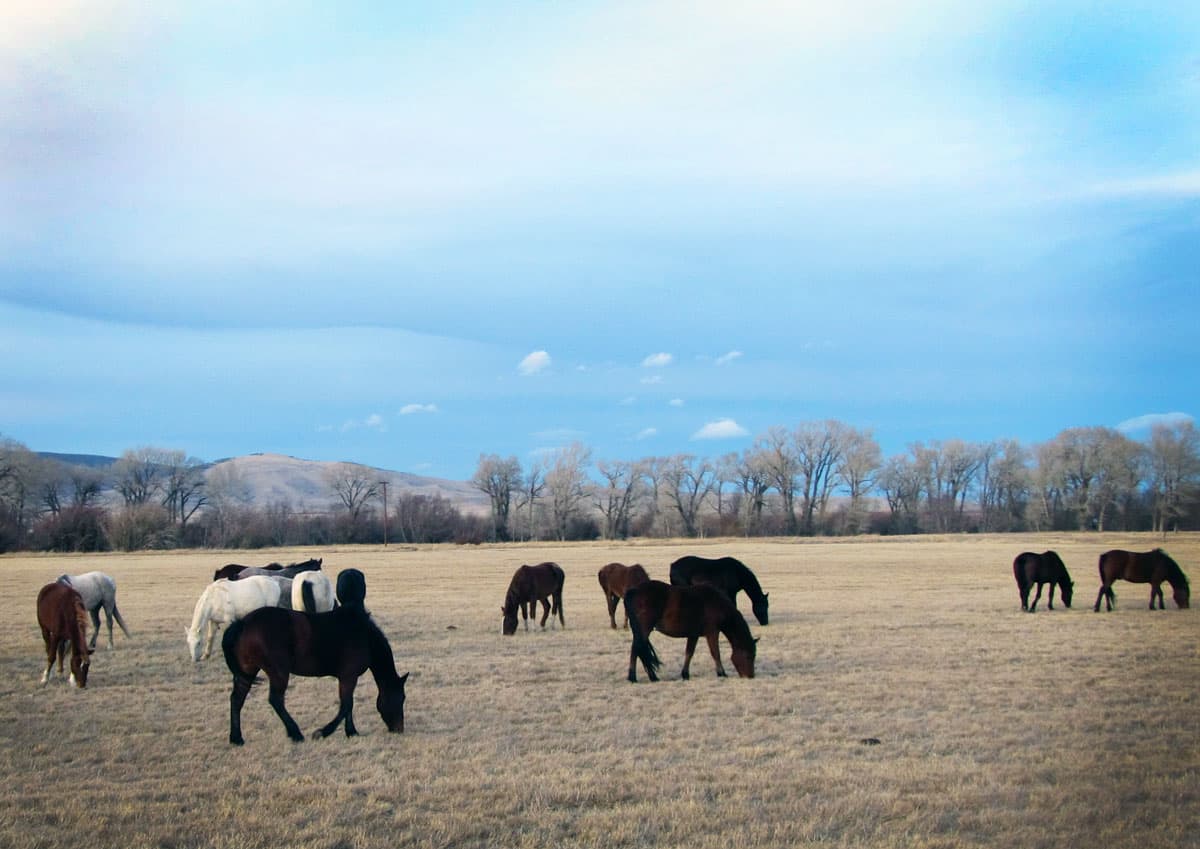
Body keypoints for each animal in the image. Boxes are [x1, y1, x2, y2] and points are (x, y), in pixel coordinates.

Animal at [222, 601, 409, 745]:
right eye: (401, 698)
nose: (399, 729)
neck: (364, 636)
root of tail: (242, 623)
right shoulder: (349, 676)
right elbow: (346, 705)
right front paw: (323, 732)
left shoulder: (348, 678)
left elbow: (348, 705)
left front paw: (351, 732)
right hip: (278, 673)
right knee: (276, 700)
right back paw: (295, 733)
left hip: (248, 672)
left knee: (237, 700)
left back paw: (236, 738)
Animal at [623, 580, 757, 682]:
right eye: (749, 656)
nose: (750, 676)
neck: (717, 604)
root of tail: (634, 591)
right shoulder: (712, 632)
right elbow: (715, 653)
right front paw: (721, 673)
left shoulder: (694, 635)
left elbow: (689, 653)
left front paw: (685, 674)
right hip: (644, 630)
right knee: (636, 650)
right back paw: (635, 677)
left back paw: (649, 677)